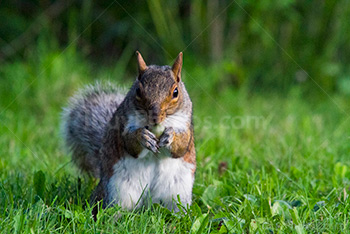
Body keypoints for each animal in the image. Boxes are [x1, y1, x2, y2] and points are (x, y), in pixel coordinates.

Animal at [61, 51, 196, 212]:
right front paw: (143, 137)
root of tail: (148, 203)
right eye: (138, 91)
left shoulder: (185, 126)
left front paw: (170, 136)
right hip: (118, 191)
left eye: (176, 92)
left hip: (178, 193)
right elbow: (130, 144)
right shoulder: (123, 125)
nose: (155, 117)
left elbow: (181, 147)